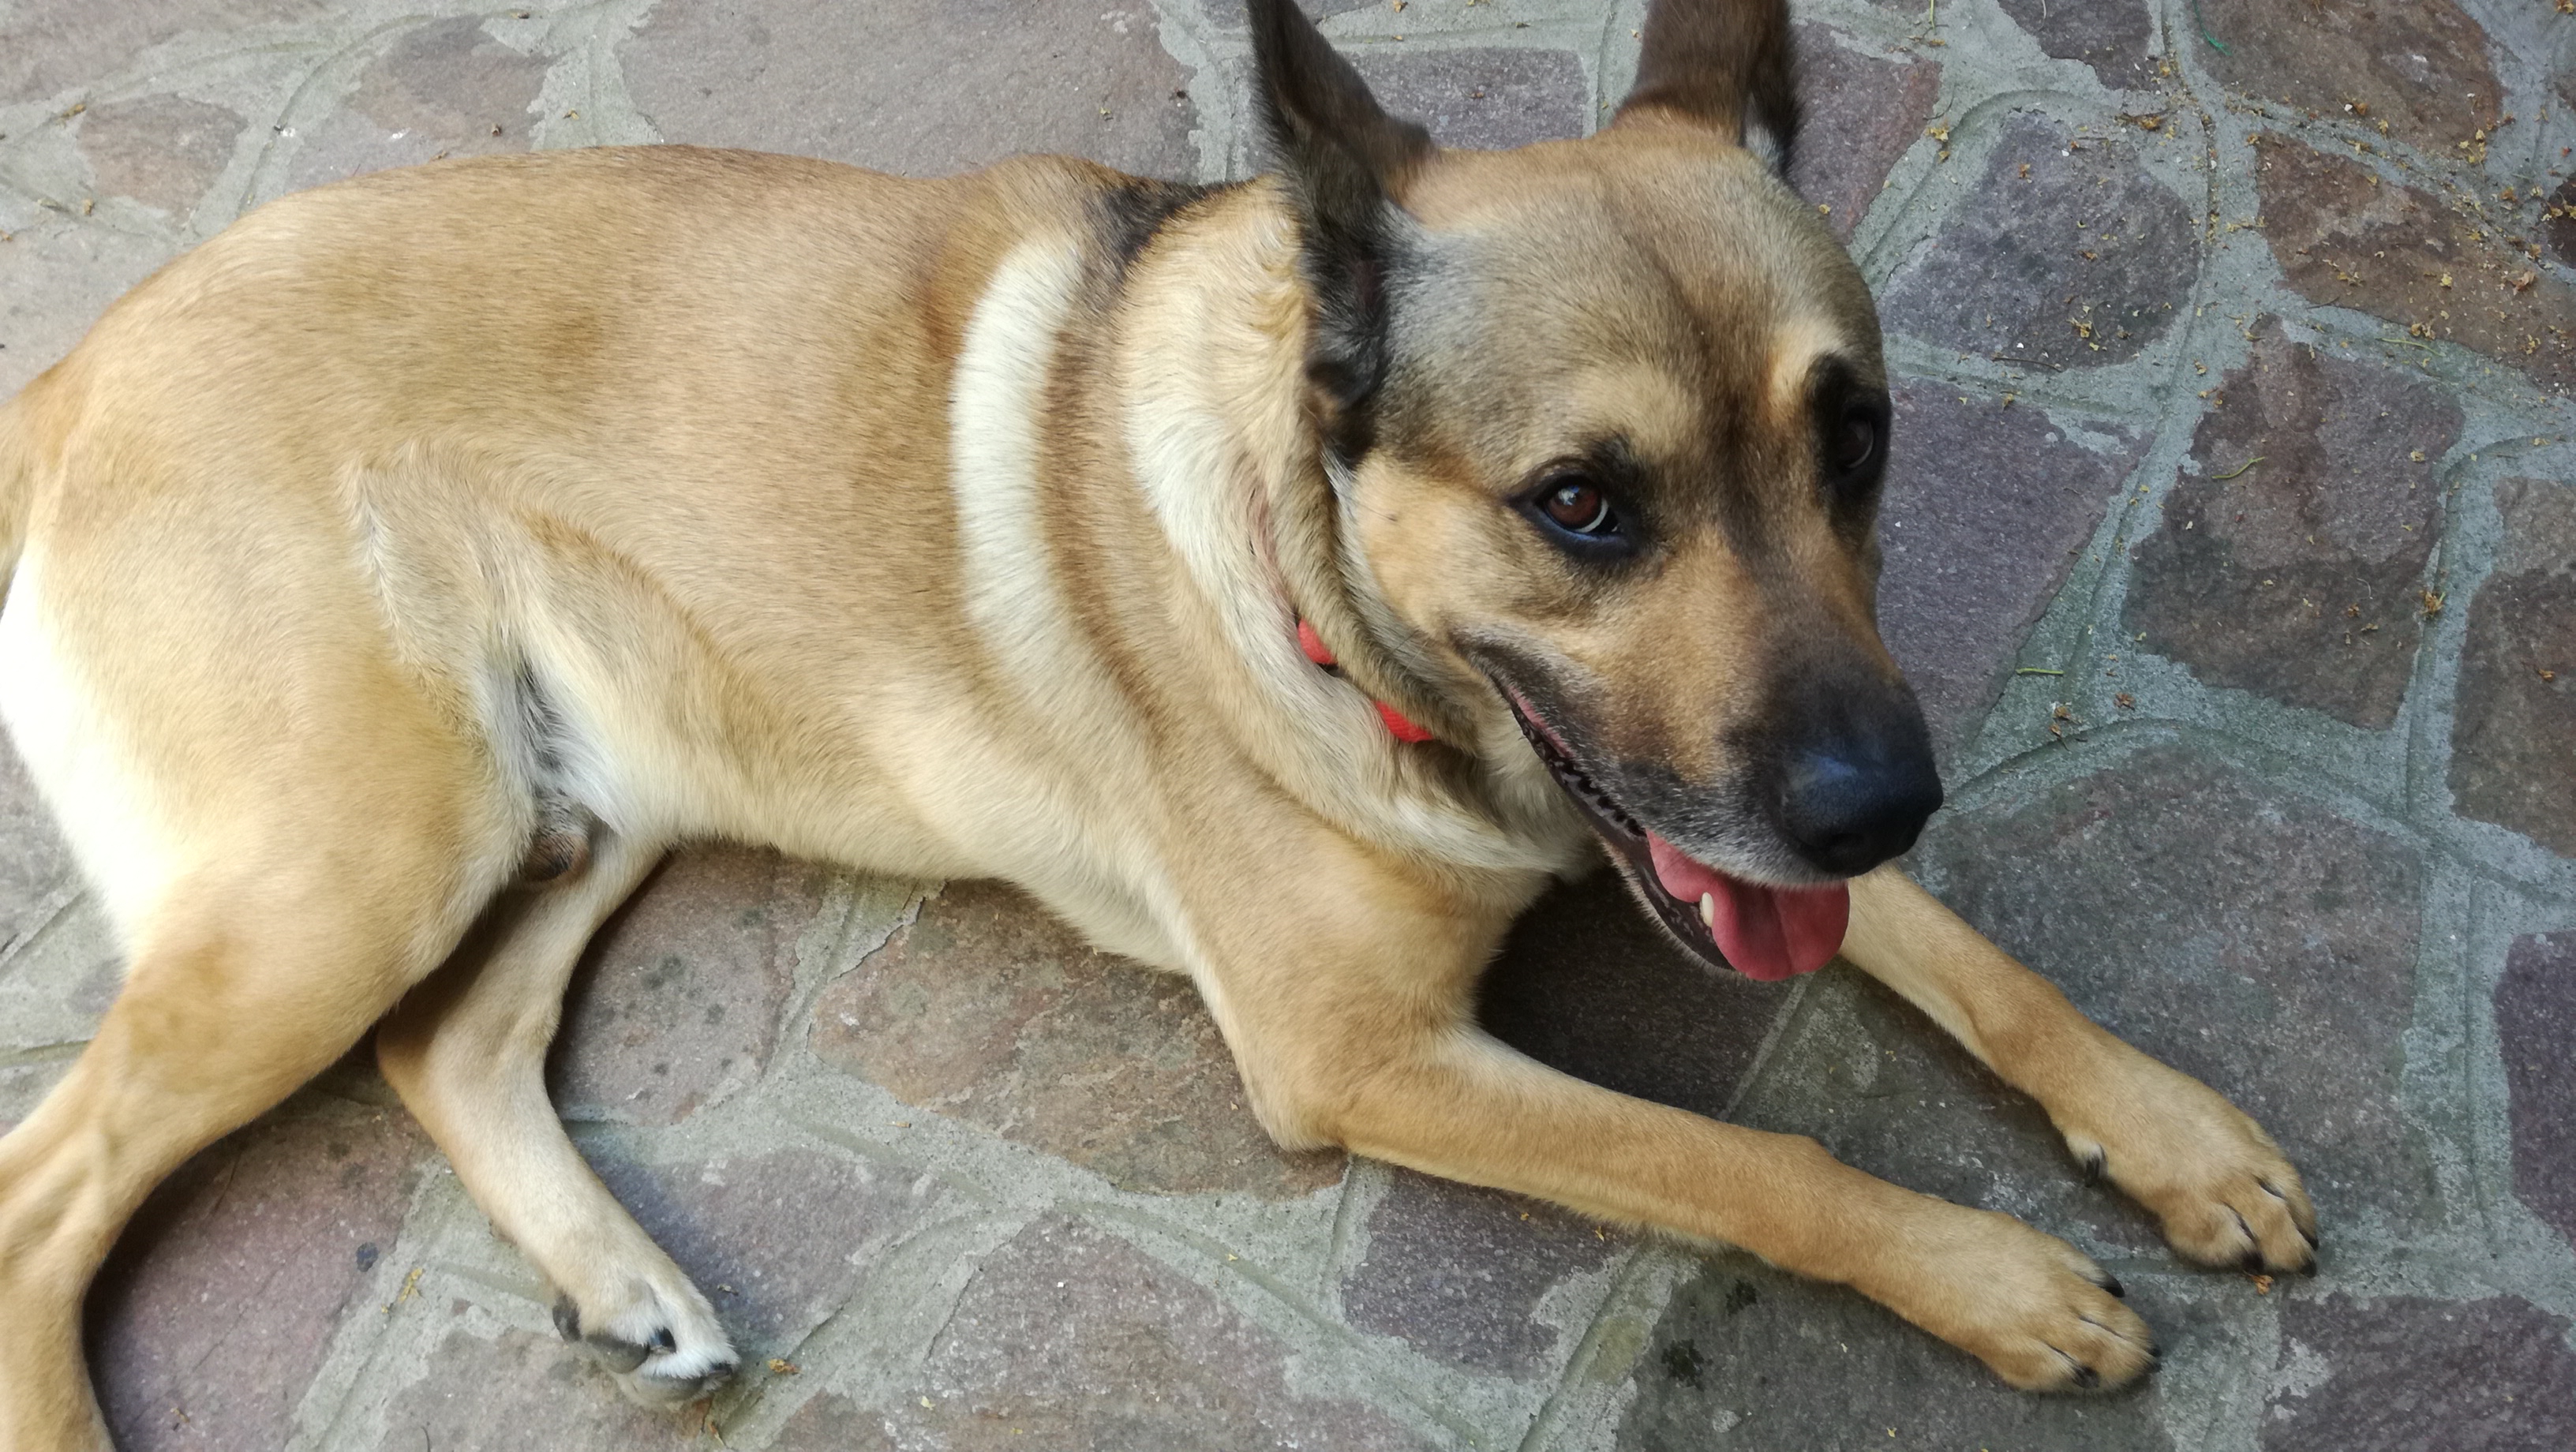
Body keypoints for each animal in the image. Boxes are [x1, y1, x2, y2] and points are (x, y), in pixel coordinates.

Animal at [0, 1, 2318, 1443]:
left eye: (1854, 441)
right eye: (1582, 504)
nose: (1871, 797)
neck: (1340, 599)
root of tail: (80, 363)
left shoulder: (1726, 810)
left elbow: (1953, 942)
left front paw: (2167, 1125)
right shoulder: (1365, 1053)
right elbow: (1751, 1154)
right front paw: (1995, 1276)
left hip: (575, 802)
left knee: (449, 1044)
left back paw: (620, 1276)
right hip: (355, 870)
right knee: (48, 1186)